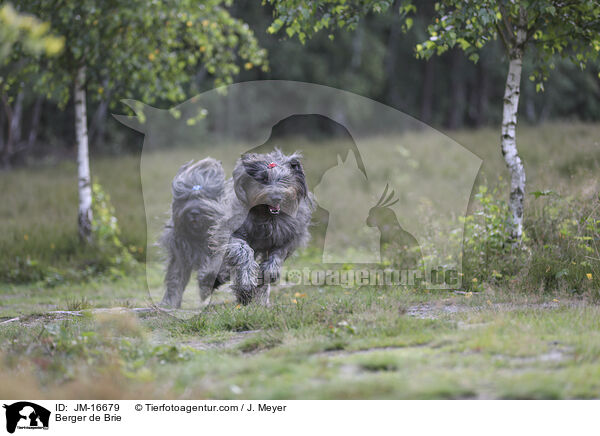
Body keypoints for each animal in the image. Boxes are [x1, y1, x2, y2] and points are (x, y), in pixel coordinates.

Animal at [162, 150, 316, 306]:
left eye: (284, 179)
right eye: (263, 179)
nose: (276, 196)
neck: (265, 215)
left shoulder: (288, 237)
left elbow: (277, 256)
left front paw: (268, 272)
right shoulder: (231, 232)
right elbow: (243, 252)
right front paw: (246, 284)